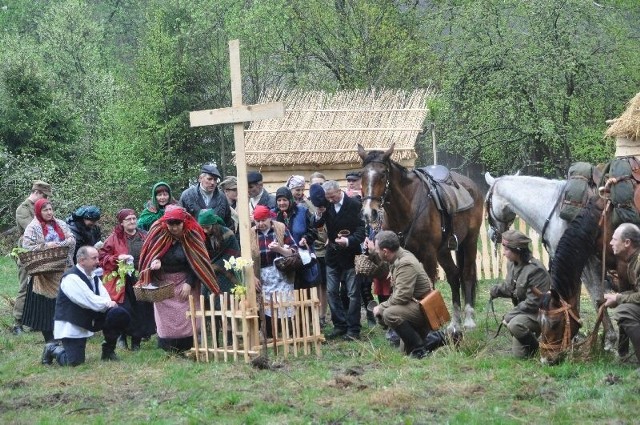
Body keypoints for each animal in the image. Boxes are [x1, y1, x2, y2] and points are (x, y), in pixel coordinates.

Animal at [358, 143, 482, 328]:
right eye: (362, 174)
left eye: (383, 174)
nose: (368, 212)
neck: (407, 207)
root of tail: (472, 186)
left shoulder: (428, 255)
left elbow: (429, 291)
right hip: (443, 251)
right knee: (453, 275)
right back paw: (455, 322)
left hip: (470, 241)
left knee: (467, 274)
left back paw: (468, 319)